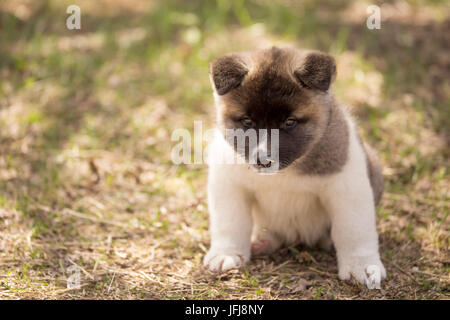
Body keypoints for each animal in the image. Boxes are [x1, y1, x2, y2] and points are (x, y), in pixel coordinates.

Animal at [204, 46, 386, 284]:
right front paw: (226, 253)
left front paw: (362, 265)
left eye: (289, 122)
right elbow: (230, 223)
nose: (263, 160)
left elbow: (355, 230)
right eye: (247, 122)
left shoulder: (346, 185)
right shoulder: (228, 184)